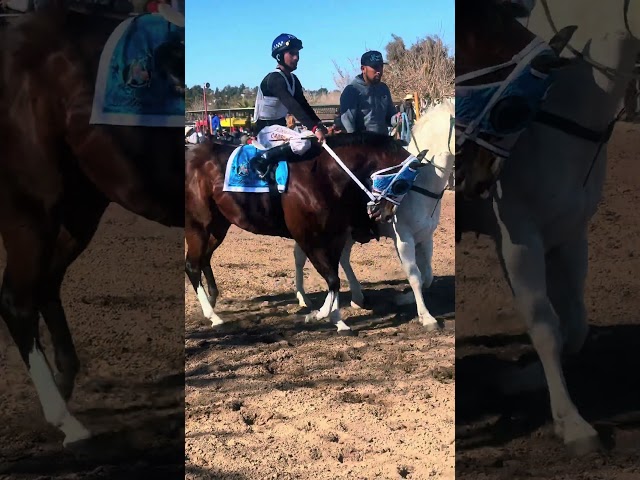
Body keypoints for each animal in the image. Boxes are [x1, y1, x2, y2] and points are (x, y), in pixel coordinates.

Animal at [0, 7, 185, 448]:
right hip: (32, 205)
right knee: (17, 300)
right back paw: (65, 420)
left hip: (80, 207)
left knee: (45, 285)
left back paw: (63, 386)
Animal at [185, 133, 424, 336]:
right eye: (401, 184)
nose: (384, 213)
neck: (324, 176)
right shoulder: (308, 237)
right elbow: (332, 279)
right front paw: (319, 314)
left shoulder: (335, 237)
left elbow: (334, 278)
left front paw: (337, 320)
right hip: (198, 225)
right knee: (192, 265)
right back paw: (213, 316)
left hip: (218, 226)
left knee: (203, 259)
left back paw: (212, 300)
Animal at [292, 97, 458, 330]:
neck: (416, 183)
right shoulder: (403, 239)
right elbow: (415, 275)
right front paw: (426, 317)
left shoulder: (426, 237)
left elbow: (427, 275)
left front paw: (405, 298)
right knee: (300, 256)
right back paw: (303, 298)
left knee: (342, 259)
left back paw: (356, 297)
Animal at [458, 0, 640, 454]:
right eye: (511, 110)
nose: (475, 179)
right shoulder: (519, 239)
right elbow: (543, 324)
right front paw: (572, 423)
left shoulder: (570, 234)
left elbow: (572, 325)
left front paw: (523, 379)